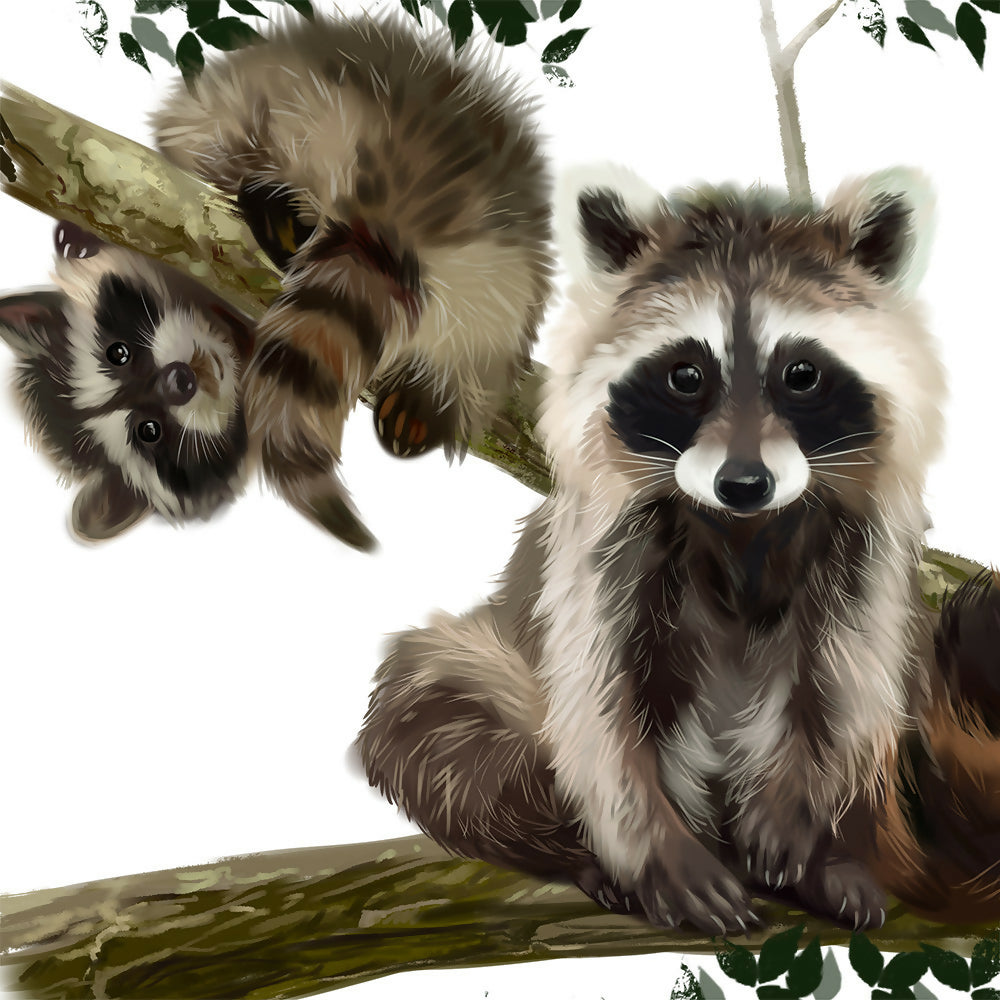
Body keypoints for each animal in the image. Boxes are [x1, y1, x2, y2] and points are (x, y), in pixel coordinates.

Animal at [356, 166, 987, 935]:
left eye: (801, 373)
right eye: (686, 375)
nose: (743, 482)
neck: (742, 525)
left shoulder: (866, 543)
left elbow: (844, 676)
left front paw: (799, 818)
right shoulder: (601, 546)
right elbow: (598, 702)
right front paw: (656, 849)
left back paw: (832, 854)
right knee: (431, 711)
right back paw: (581, 851)